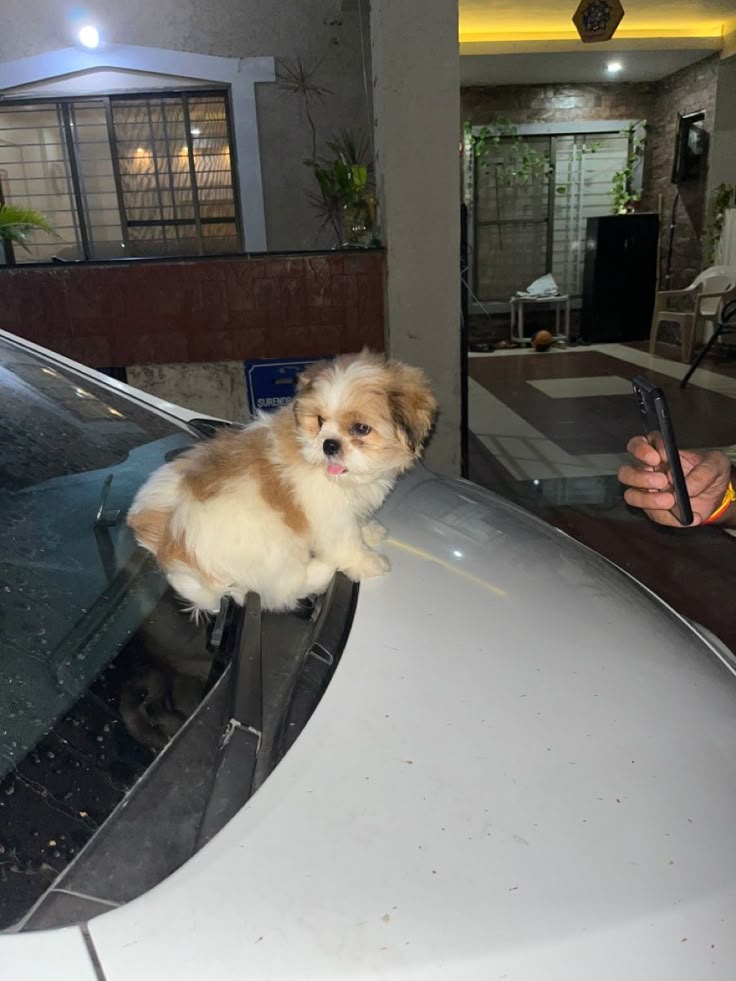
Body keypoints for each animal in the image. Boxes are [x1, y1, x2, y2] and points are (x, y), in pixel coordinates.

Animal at [126, 350, 436, 612]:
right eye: (320, 421)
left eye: (361, 428)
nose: (329, 444)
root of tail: (172, 545)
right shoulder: (331, 517)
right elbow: (346, 542)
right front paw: (367, 561)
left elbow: (357, 523)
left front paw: (369, 530)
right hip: (275, 550)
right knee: (282, 591)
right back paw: (322, 570)